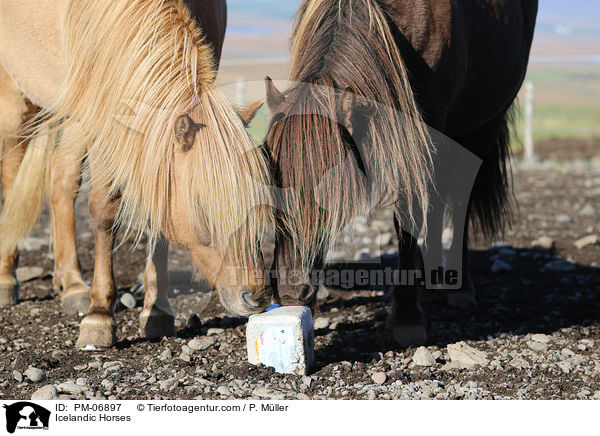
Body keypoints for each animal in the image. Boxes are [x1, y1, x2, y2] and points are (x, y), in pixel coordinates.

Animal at [0, 0, 272, 348]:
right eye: (202, 208)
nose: (256, 296)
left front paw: (157, 311)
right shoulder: (103, 120)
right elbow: (103, 212)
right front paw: (99, 316)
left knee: (61, 177)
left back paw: (72, 284)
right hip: (17, 95)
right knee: (13, 175)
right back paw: (8, 277)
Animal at [264, 0, 536, 346]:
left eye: (330, 195)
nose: (289, 291)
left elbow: (410, 215)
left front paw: (407, 319)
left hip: (481, 126)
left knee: (458, 200)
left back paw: (460, 288)